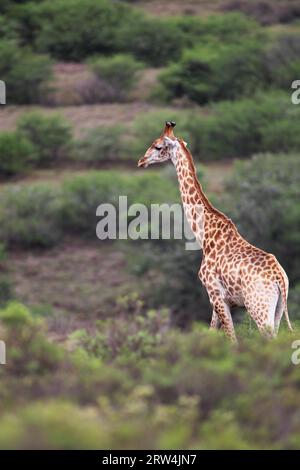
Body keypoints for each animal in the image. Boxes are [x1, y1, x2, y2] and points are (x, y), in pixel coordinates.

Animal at [137, 121, 292, 342]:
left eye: (158, 146)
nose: (141, 161)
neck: (205, 235)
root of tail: (280, 279)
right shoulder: (218, 300)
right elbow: (212, 333)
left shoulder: (216, 294)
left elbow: (232, 340)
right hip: (278, 310)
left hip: (259, 308)